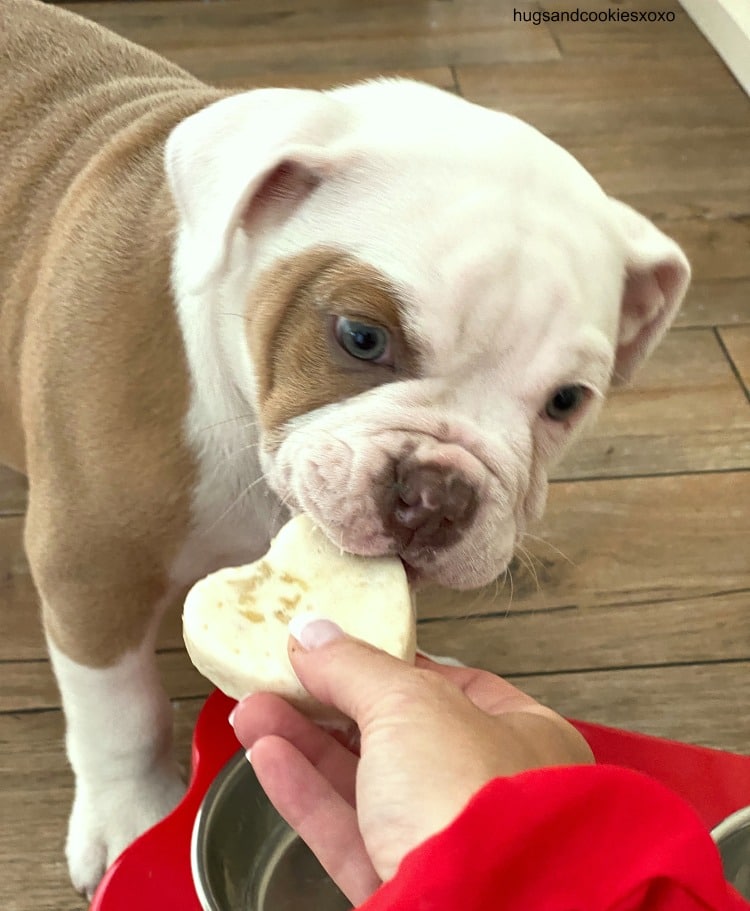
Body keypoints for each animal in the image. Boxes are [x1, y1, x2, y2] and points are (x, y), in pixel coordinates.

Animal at [1, 0, 692, 896]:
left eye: (566, 401)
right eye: (360, 336)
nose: (438, 492)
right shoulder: (94, 562)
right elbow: (118, 709)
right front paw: (131, 815)